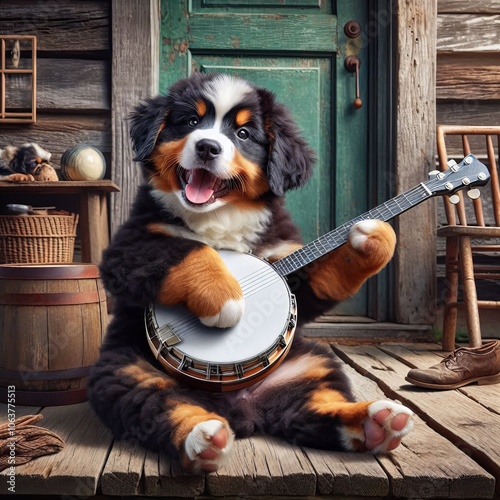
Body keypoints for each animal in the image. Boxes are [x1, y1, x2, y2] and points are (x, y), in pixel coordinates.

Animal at [89, 72, 414, 470]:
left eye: (243, 134)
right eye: (191, 122)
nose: (208, 147)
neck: (221, 215)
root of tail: (240, 407)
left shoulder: (289, 263)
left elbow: (327, 273)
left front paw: (373, 235)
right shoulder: (128, 248)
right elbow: (191, 250)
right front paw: (226, 299)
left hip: (311, 365)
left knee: (313, 407)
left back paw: (377, 422)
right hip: (126, 370)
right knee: (159, 404)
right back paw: (204, 438)